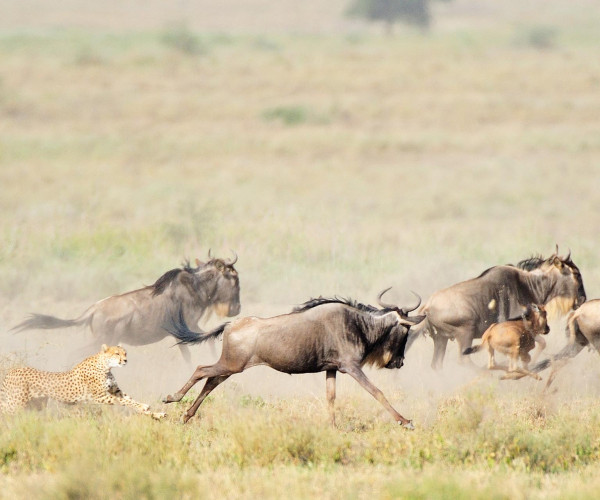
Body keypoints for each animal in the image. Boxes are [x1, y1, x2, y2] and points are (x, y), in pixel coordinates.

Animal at [0, 344, 165, 418]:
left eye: (125, 353)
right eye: (117, 353)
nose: (125, 360)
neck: (106, 366)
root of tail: (11, 372)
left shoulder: (115, 391)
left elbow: (130, 399)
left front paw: (151, 411)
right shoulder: (100, 396)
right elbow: (124, 401)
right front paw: (145, 408)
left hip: (36, 405)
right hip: (16, 404)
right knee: (4, 410)